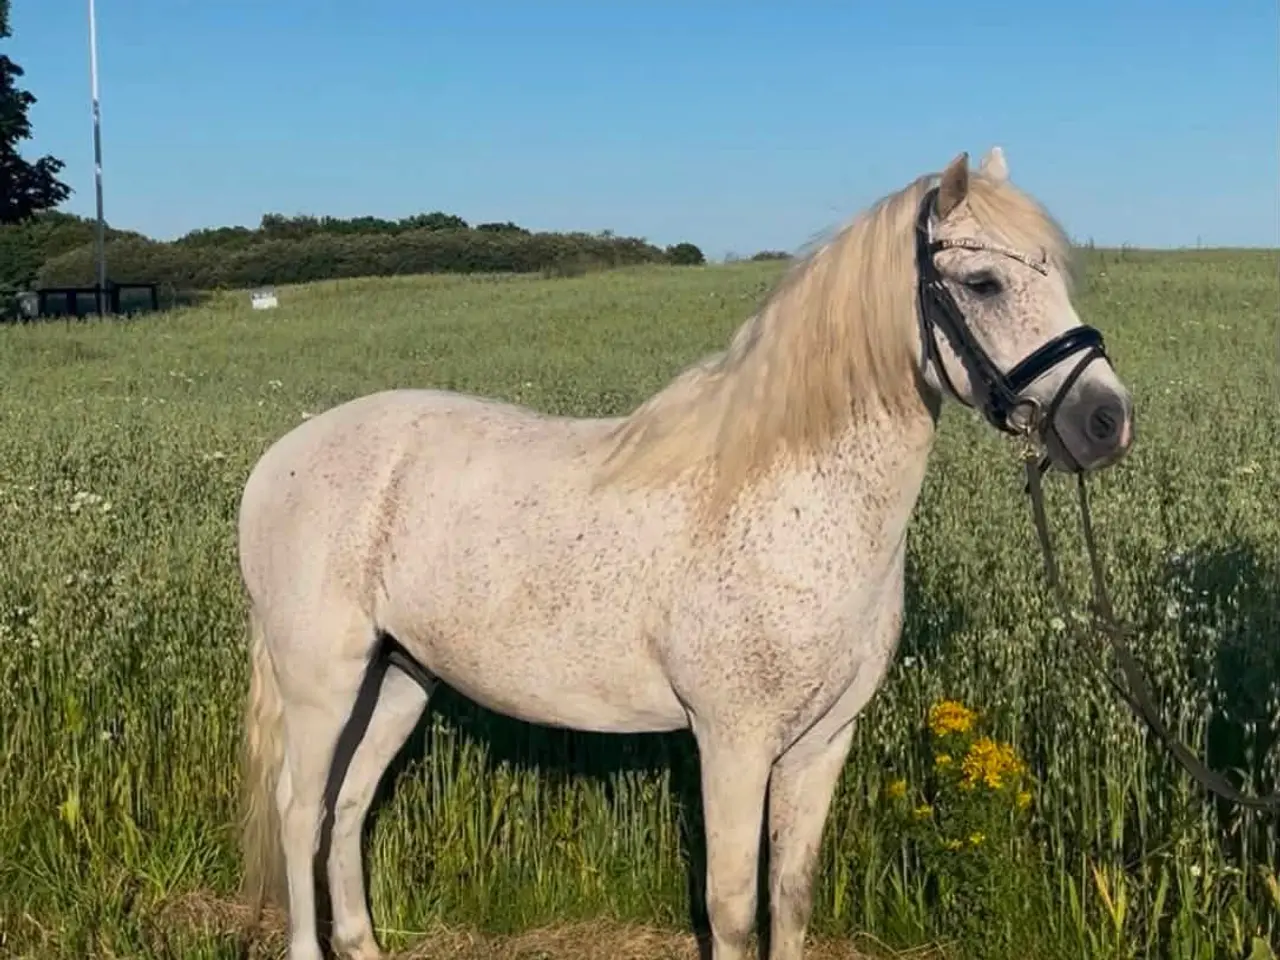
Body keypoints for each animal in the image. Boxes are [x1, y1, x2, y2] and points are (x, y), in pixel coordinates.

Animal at [236, 147, 1135, 960]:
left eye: (1058, 275)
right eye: (984, 284)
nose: (1106, 420)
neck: (792, 497)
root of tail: (278, 458)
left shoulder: (823, 742)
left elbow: (790, 898)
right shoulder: (732, 742)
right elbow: (732, 909)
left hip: (398, 678)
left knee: (348, 808)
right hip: (324, 682)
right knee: (300, 810)